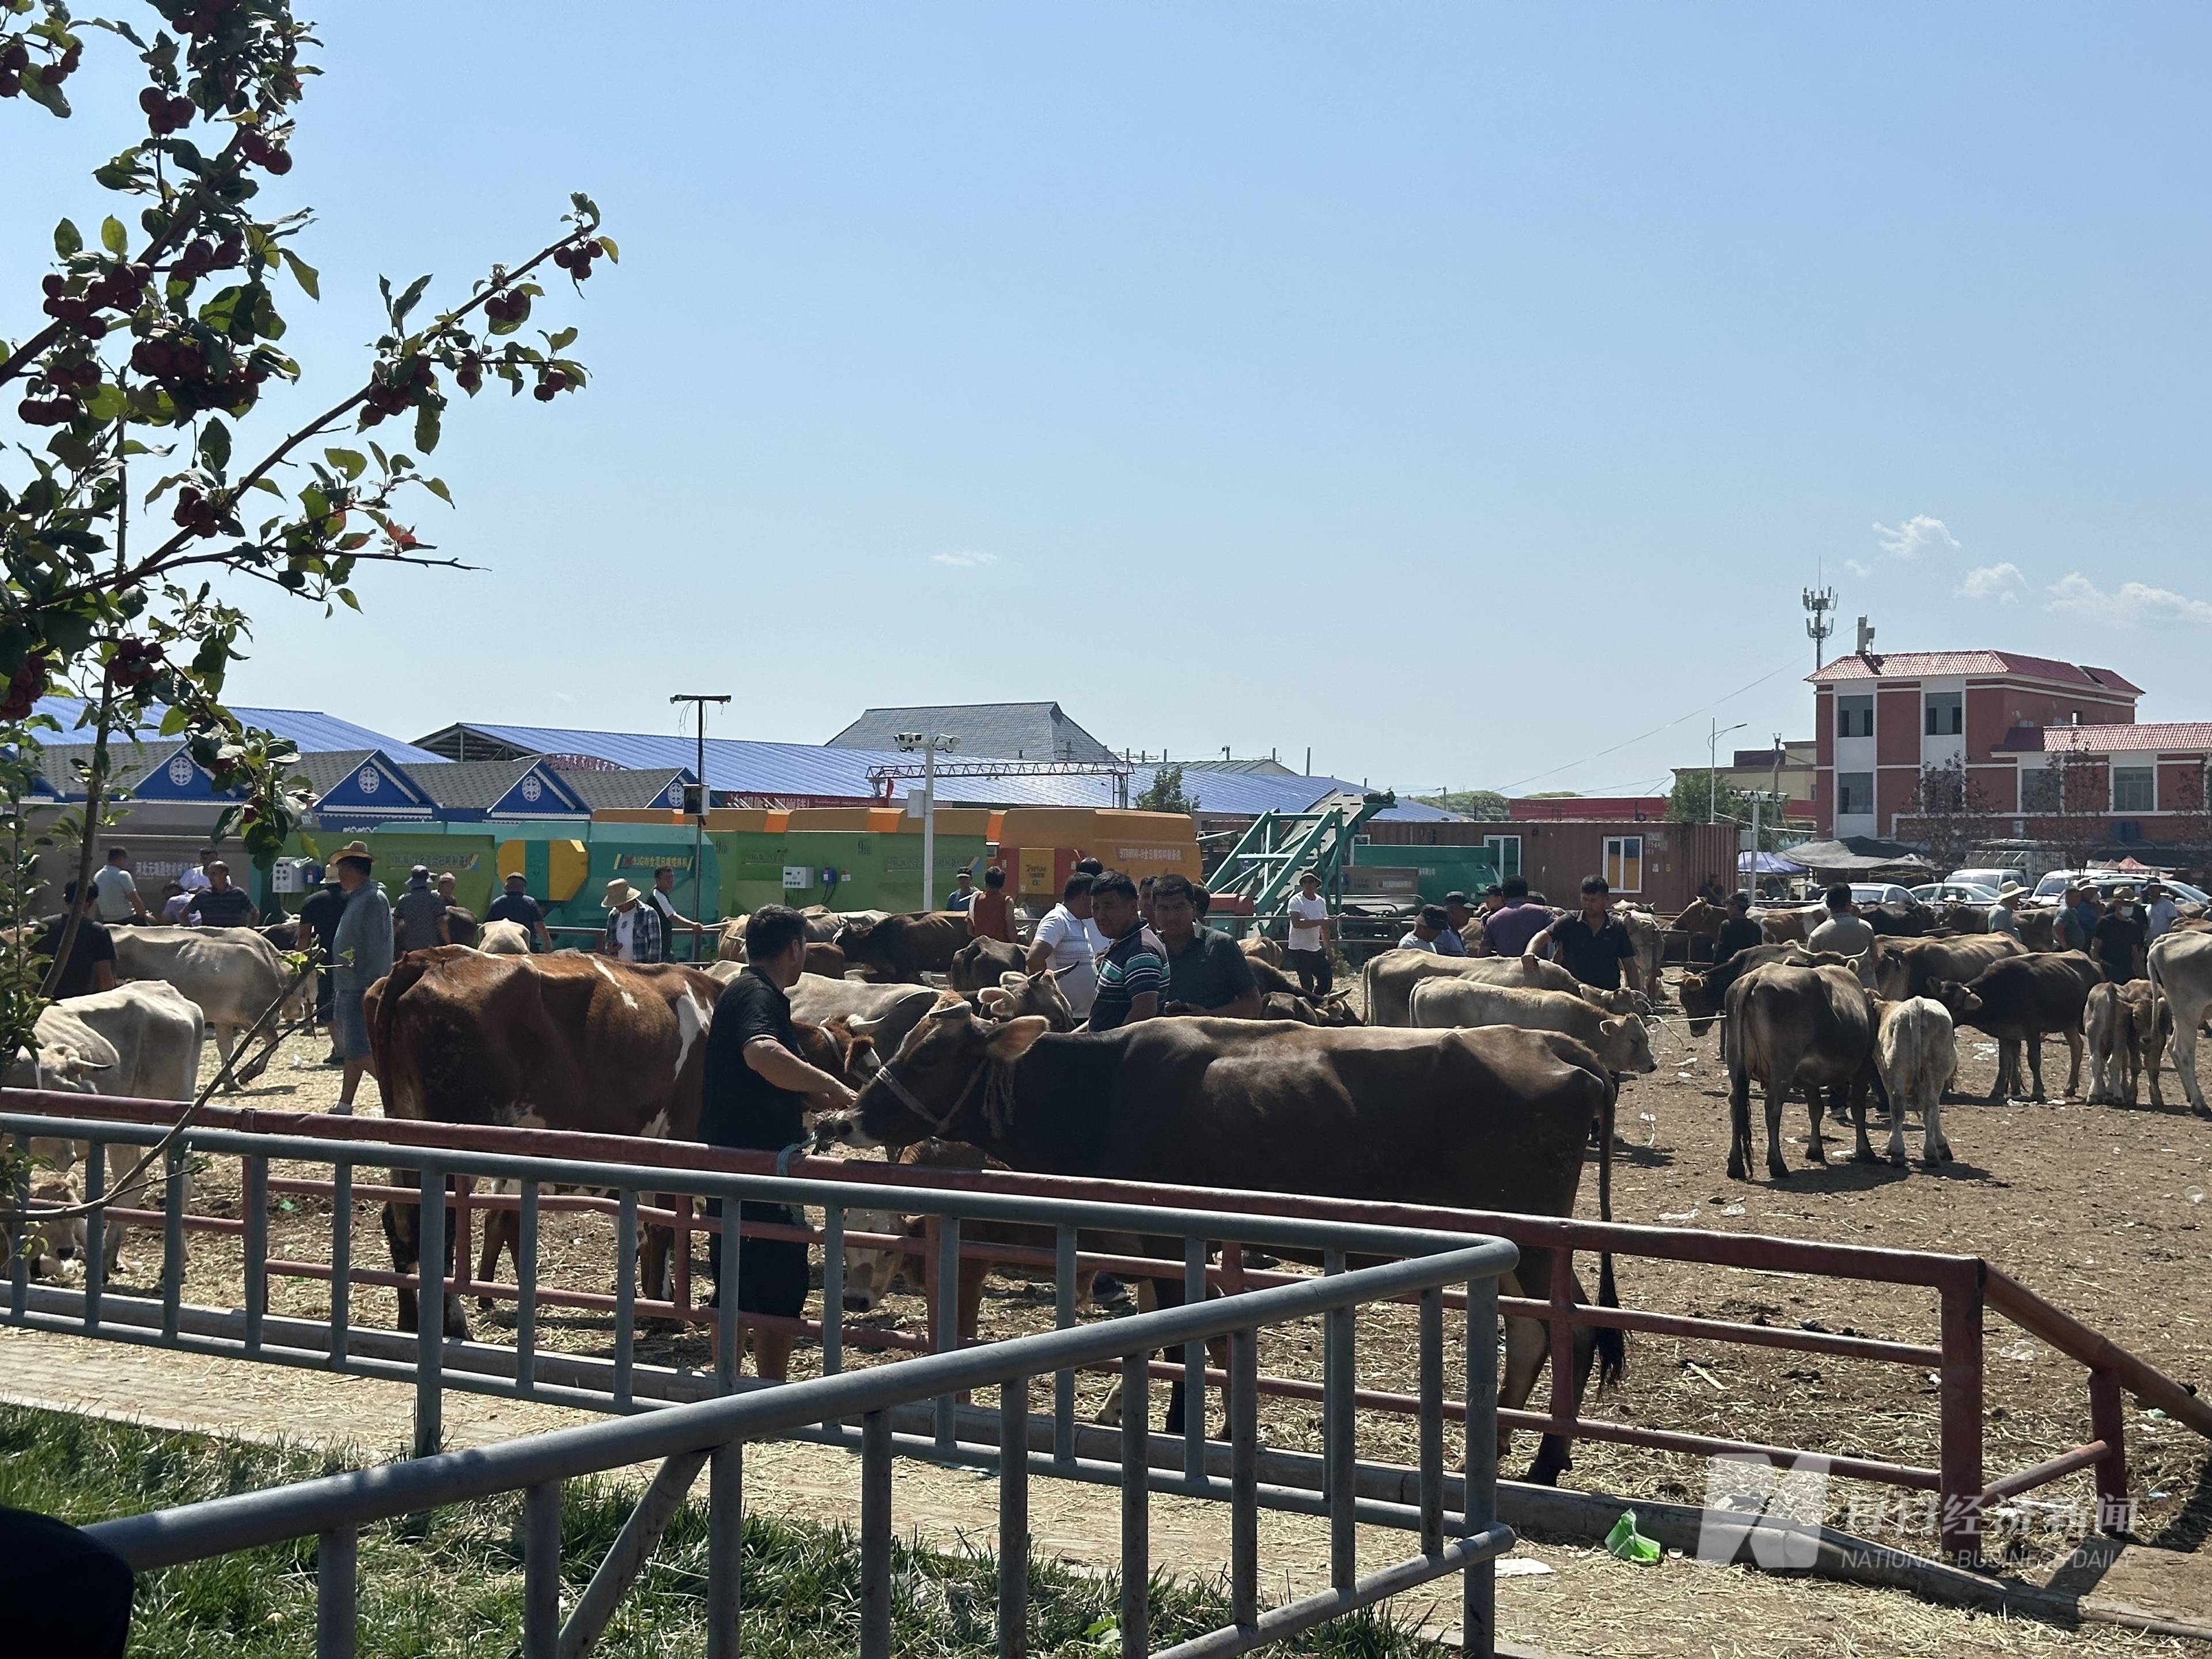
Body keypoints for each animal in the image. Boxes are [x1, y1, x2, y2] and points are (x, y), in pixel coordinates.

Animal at [1876, 999, 1964, 1168]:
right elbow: (1936, 1112)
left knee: (1899, 1107)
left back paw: (1898, 1153)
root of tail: (1917, 1004)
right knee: (1928, 1108)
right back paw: (1928, 1153)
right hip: (1932, 1073)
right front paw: (1942, 1144)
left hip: (1899, 1070)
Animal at [1929, 946, 2097, 1106]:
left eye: (1957, 1007)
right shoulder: (2005, 1033)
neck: (2003, 992)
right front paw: (1996, 1091)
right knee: (2076, 1046)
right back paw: (2070, 1087)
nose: (1943, 1019)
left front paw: (2038, 1092)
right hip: (2067, 1024)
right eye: (1939, 1001)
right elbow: (2003, 1062)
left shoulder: (2032, 1030)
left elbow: (2034, 1060)